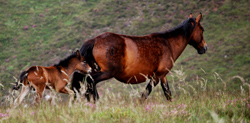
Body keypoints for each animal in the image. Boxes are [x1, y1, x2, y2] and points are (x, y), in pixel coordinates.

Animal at [71, 13, 207, 102]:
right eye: (202, 29)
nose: (204, 48)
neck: (168, 43)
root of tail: (94, 40)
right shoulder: (156, 77)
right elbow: (144, 95)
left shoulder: (163, 76)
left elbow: (168, 94)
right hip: (107, 72)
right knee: (91, 82)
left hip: (92, 70)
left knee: (83, 83)